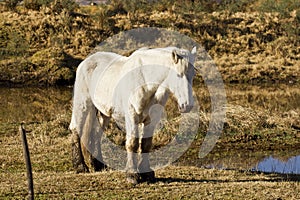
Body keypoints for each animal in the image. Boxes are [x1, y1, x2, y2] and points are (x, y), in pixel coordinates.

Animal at [70, 46, 197, 184]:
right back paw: (80, 166)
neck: (145, 81)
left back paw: (99, 165)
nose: (187, 105)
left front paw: (146, 173)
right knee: (76, 130)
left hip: (103, 113)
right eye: (178, 74)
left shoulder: (152, 119)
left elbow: (146, 144)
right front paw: (132, 174)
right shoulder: (132, 117)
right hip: (82, 105)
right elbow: (132, 143)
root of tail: (85, 62)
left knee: (96, 134)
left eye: (193, 75)